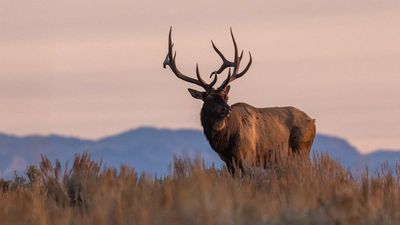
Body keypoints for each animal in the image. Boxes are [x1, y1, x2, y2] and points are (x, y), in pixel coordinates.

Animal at [162, 26, 316, 174]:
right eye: (209, 98)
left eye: (226, 97)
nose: (227, 109)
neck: (224, 142)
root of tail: (312, 122)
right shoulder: (229, 162)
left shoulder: (246, 157)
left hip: (301, 150)